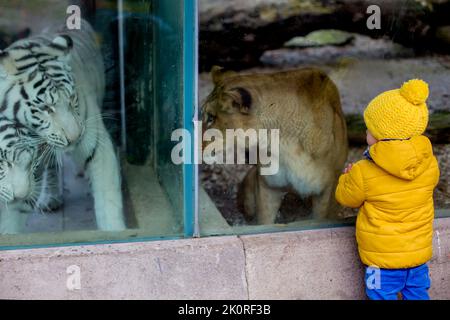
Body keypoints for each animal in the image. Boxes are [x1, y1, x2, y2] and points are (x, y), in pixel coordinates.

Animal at [0, 19, 125, 232]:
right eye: (45, 108)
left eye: (72, 99)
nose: (76, 137)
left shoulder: (96, 145)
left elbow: (107, 197)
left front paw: (115, 232)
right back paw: (50, 197)